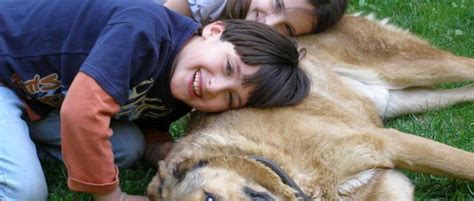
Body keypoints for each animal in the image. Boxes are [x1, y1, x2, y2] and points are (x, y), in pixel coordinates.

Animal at [146, 14, 472, 200]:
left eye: (210, 199)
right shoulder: (387, 184)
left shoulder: (389, 141)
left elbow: (464, 163)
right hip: (402, 99)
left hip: (410, 66)